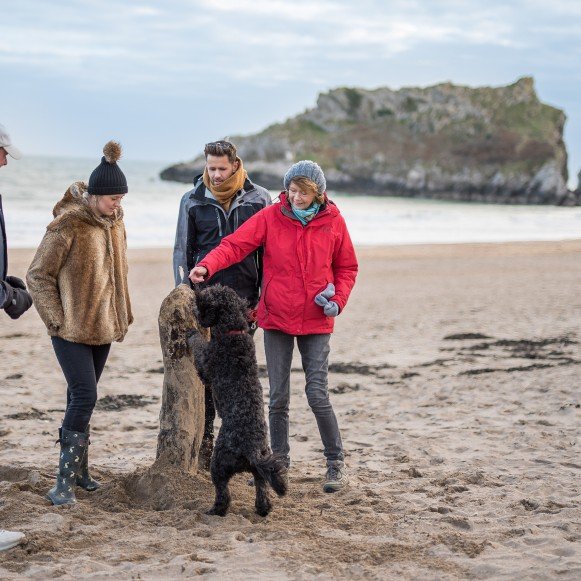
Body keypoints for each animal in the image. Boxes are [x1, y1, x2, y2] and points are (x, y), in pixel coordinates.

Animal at [188, 284, 288, 516]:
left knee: (223, 492)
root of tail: (252, 449)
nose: (194, 297)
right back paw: (262, 509)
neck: (233, 332)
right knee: (262, 489)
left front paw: (191, 333)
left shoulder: (205, 364)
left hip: (219, 463)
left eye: (206, 297)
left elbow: (198, 344)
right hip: (259, 471)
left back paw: (215, 510)